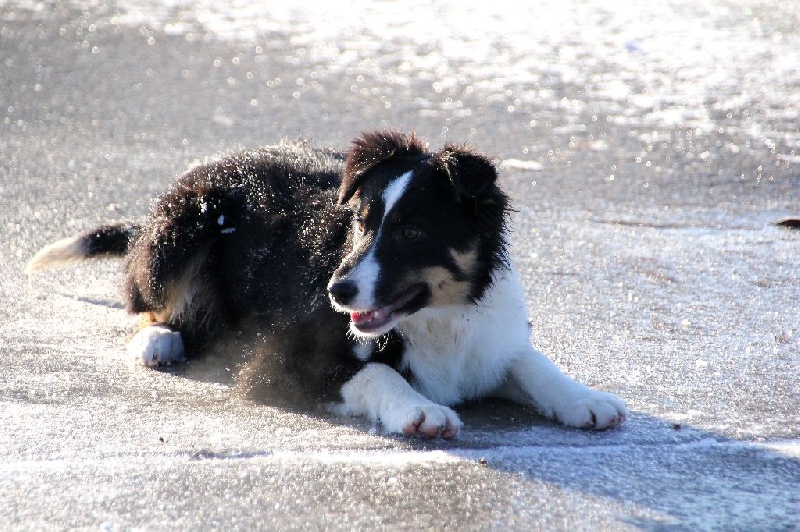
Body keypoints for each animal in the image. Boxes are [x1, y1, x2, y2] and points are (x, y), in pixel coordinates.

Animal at [25, 130, 628, 436]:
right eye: (360, 221)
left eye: (412, 231)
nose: (338, 292)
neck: (438, 319)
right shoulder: (279, 363)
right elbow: (376, 373)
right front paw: (421, 410)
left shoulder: (488, 340)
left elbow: (532, 363)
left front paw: (586, 399)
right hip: (185, 223)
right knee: (146, 303)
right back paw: (159, 339)